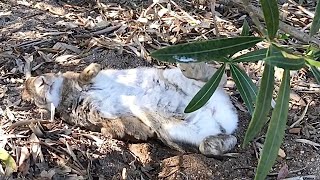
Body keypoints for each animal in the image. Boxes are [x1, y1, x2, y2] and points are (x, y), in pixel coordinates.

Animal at [22, 62, 238, 157]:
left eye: (41, 75)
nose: (39, 82)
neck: (63, 94)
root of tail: (224, 118)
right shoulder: (97, 115)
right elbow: (116, 125)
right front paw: (142, 132)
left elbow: (85, 77)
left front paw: (93, 68)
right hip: (175, 131)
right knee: (204, 144)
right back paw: (220, 142)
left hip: (178, 80)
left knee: (220, 78)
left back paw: (189, 67)